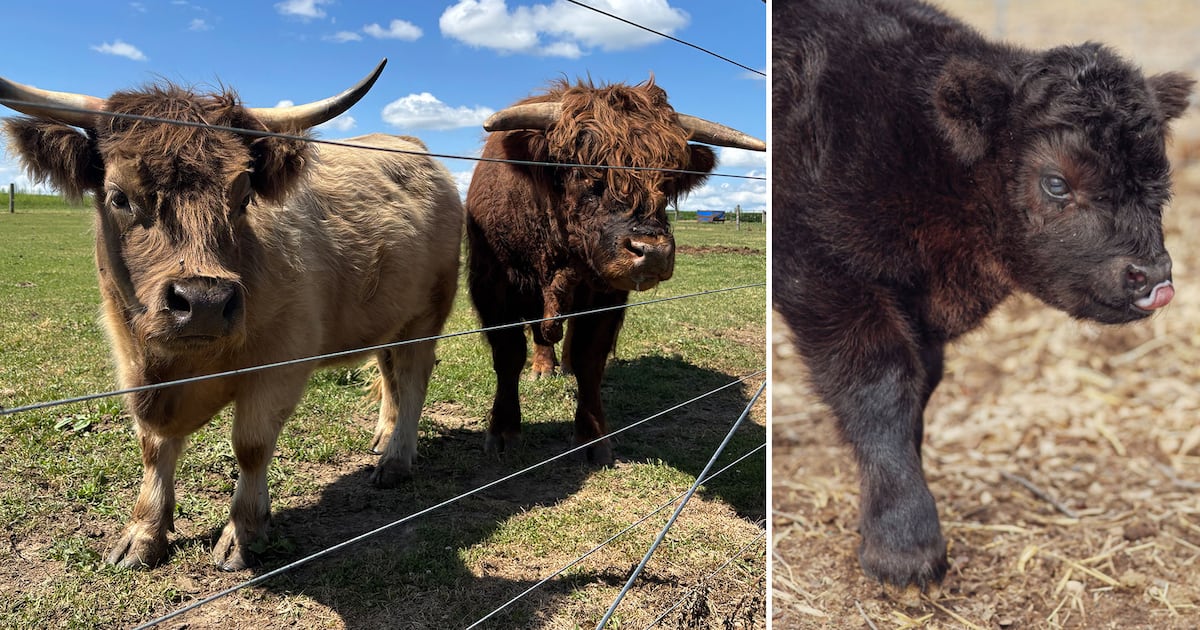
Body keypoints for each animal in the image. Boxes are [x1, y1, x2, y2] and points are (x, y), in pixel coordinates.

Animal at [0, 60, 465, 571]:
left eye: (243, 198)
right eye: (119, 196)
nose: (203, 303)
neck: (178, 367)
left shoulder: (280, 363)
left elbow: (251, 445)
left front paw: (244, 534)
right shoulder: (132, 363)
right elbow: (153, 446)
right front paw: (142, 533)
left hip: (429, 309)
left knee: (414, 374)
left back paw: (396, 459)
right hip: (388, 315)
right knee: (389, 370)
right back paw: (383, 436)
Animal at [465, 77, 765, 464]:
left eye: (669, 180)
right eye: (584, 173)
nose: (652, 253)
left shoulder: (605, 295)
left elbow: (589, 359)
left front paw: (593, 440)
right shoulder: (491, 287)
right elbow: (508, 354)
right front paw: (502, 432)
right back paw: (543, 368)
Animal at [772, 0, 1193, 591]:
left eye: (1160, 182)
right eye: (1056, 182)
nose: (1151, 277)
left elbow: (920, 392)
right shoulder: (819, 275)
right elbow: (881, 386)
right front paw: (904, 543)